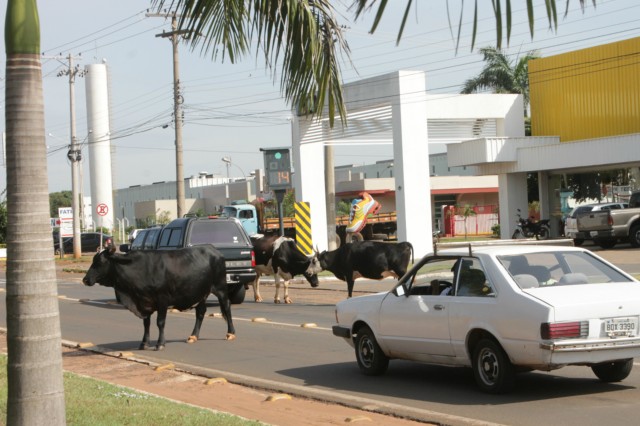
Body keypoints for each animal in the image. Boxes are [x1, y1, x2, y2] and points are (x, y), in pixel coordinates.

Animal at [82, 246, 235, 350]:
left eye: (100, 262)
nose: (85, 279)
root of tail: (214, 250)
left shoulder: (162, 300)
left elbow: (160, 322)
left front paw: (160, 343)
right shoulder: (145, 303)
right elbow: (146, 324)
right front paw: (144, 343)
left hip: (220, 288)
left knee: (226, 307)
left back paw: (231, 333)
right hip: (200, 293)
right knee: (201, 312)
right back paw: (193, 336)